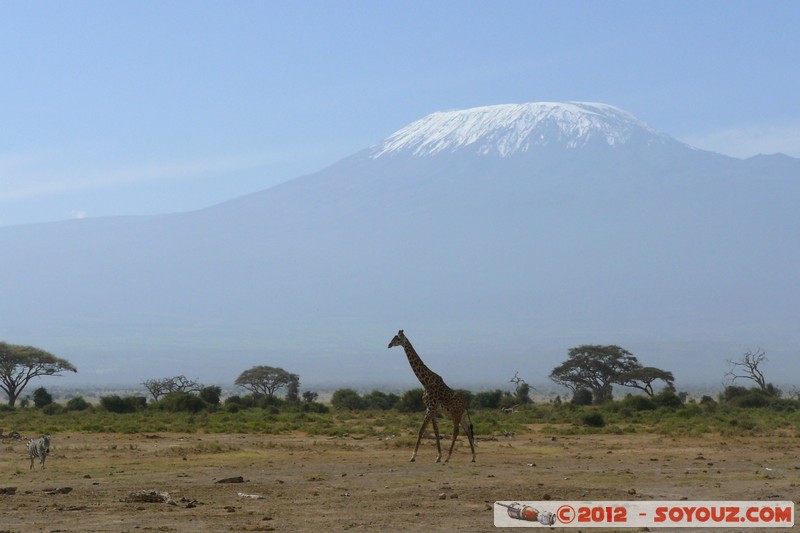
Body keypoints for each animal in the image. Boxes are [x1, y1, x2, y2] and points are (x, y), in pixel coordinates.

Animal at [388, 328, 476, 462]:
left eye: (397, 338)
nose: (389, 345)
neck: (425, 382)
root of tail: (466, 403)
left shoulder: (430, 408)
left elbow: (421, 431)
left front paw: (413, 456)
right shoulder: (432, 409)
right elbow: (436, 432)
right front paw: (438, 457)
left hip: (455, 414)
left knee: (456, 431)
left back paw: (448, 457)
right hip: (461, 415)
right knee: (467, 430)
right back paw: (473, 457)